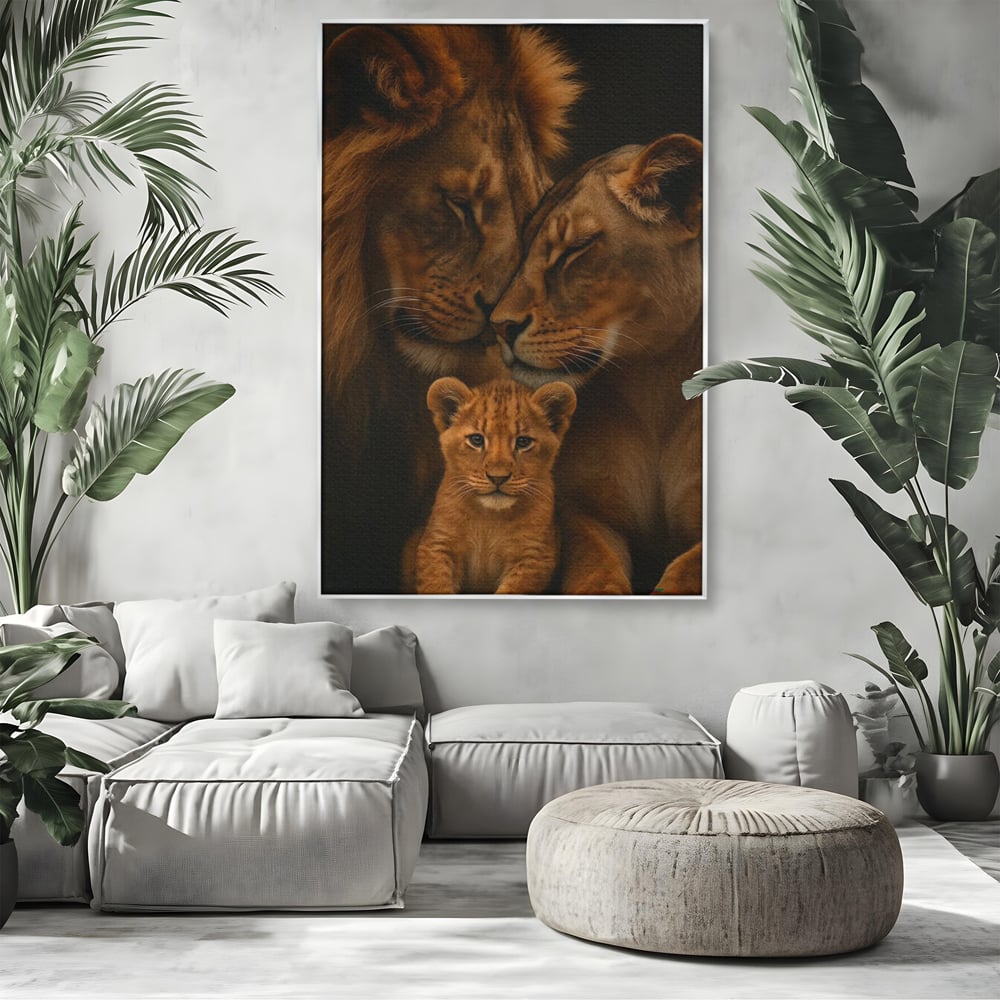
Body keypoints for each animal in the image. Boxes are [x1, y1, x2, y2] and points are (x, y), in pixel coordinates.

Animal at [491, 134, 704, 595]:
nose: (498, 326)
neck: (655, 383)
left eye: (574, 249)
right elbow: (593, 569)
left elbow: (686, 572)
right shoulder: (582, 510)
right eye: (525, 249)